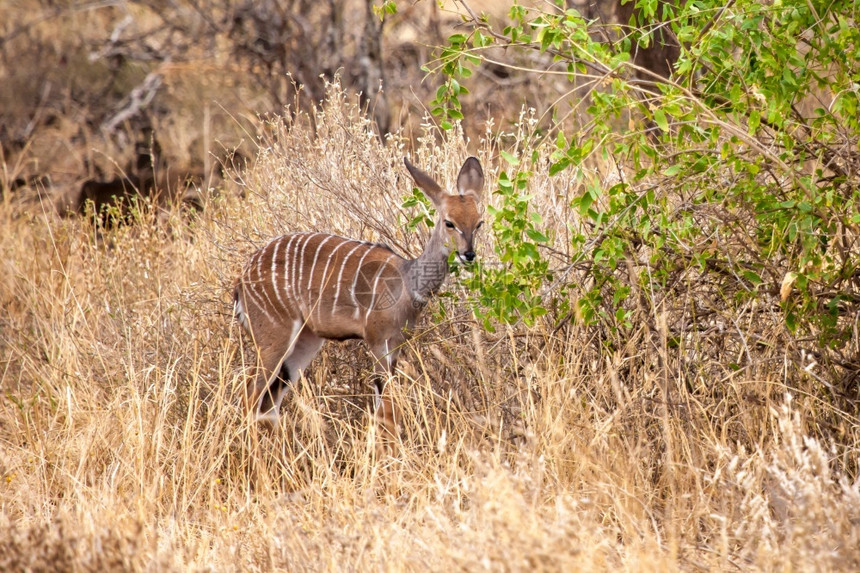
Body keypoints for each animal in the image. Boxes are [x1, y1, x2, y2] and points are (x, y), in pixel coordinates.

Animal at [232, 156, 484, 434]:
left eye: (479, 222)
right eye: (449, 222)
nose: (468, 254)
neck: (407, 282)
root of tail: (241, 281)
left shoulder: (396, 345)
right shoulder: (377, 341)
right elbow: (386, 411)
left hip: (305, 341)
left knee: (269, 402)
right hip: (274, 336)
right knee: (250, 394)